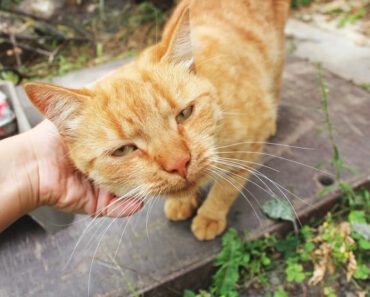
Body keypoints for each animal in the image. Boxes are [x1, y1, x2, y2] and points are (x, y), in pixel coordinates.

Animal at [24, 0, 290, 239]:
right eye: (124, 150)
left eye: (184, 114)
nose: (179, 163)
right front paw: (183, 202)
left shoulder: (248, 147)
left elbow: (227, 187)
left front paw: (210, 216)